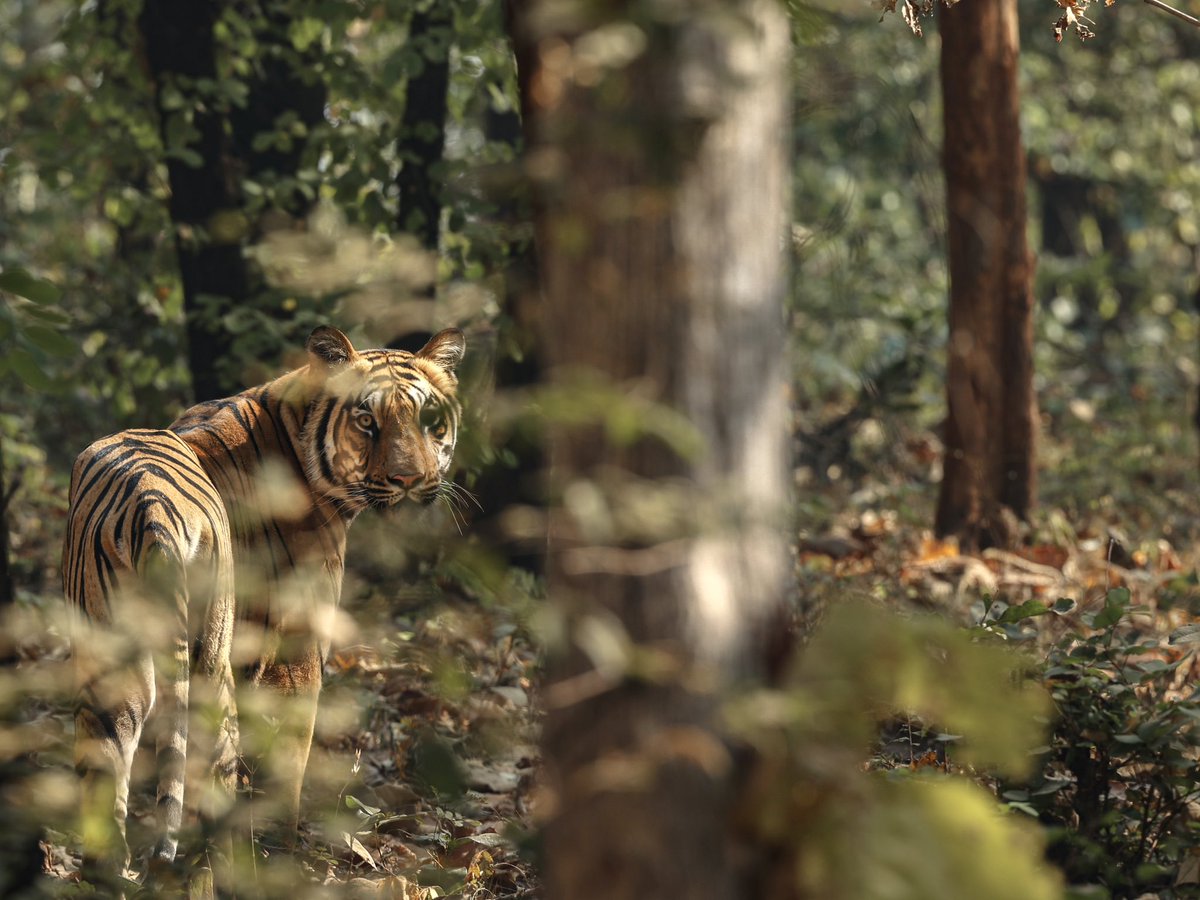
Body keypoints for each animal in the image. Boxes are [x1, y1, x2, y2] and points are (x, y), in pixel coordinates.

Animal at [65, 325, 466, 881]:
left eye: (429, 420)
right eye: (367, 420)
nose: (408, 481)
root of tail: (152, 503)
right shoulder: (295, 657)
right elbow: (284, 774)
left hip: (112, 663)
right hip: (213, 661)